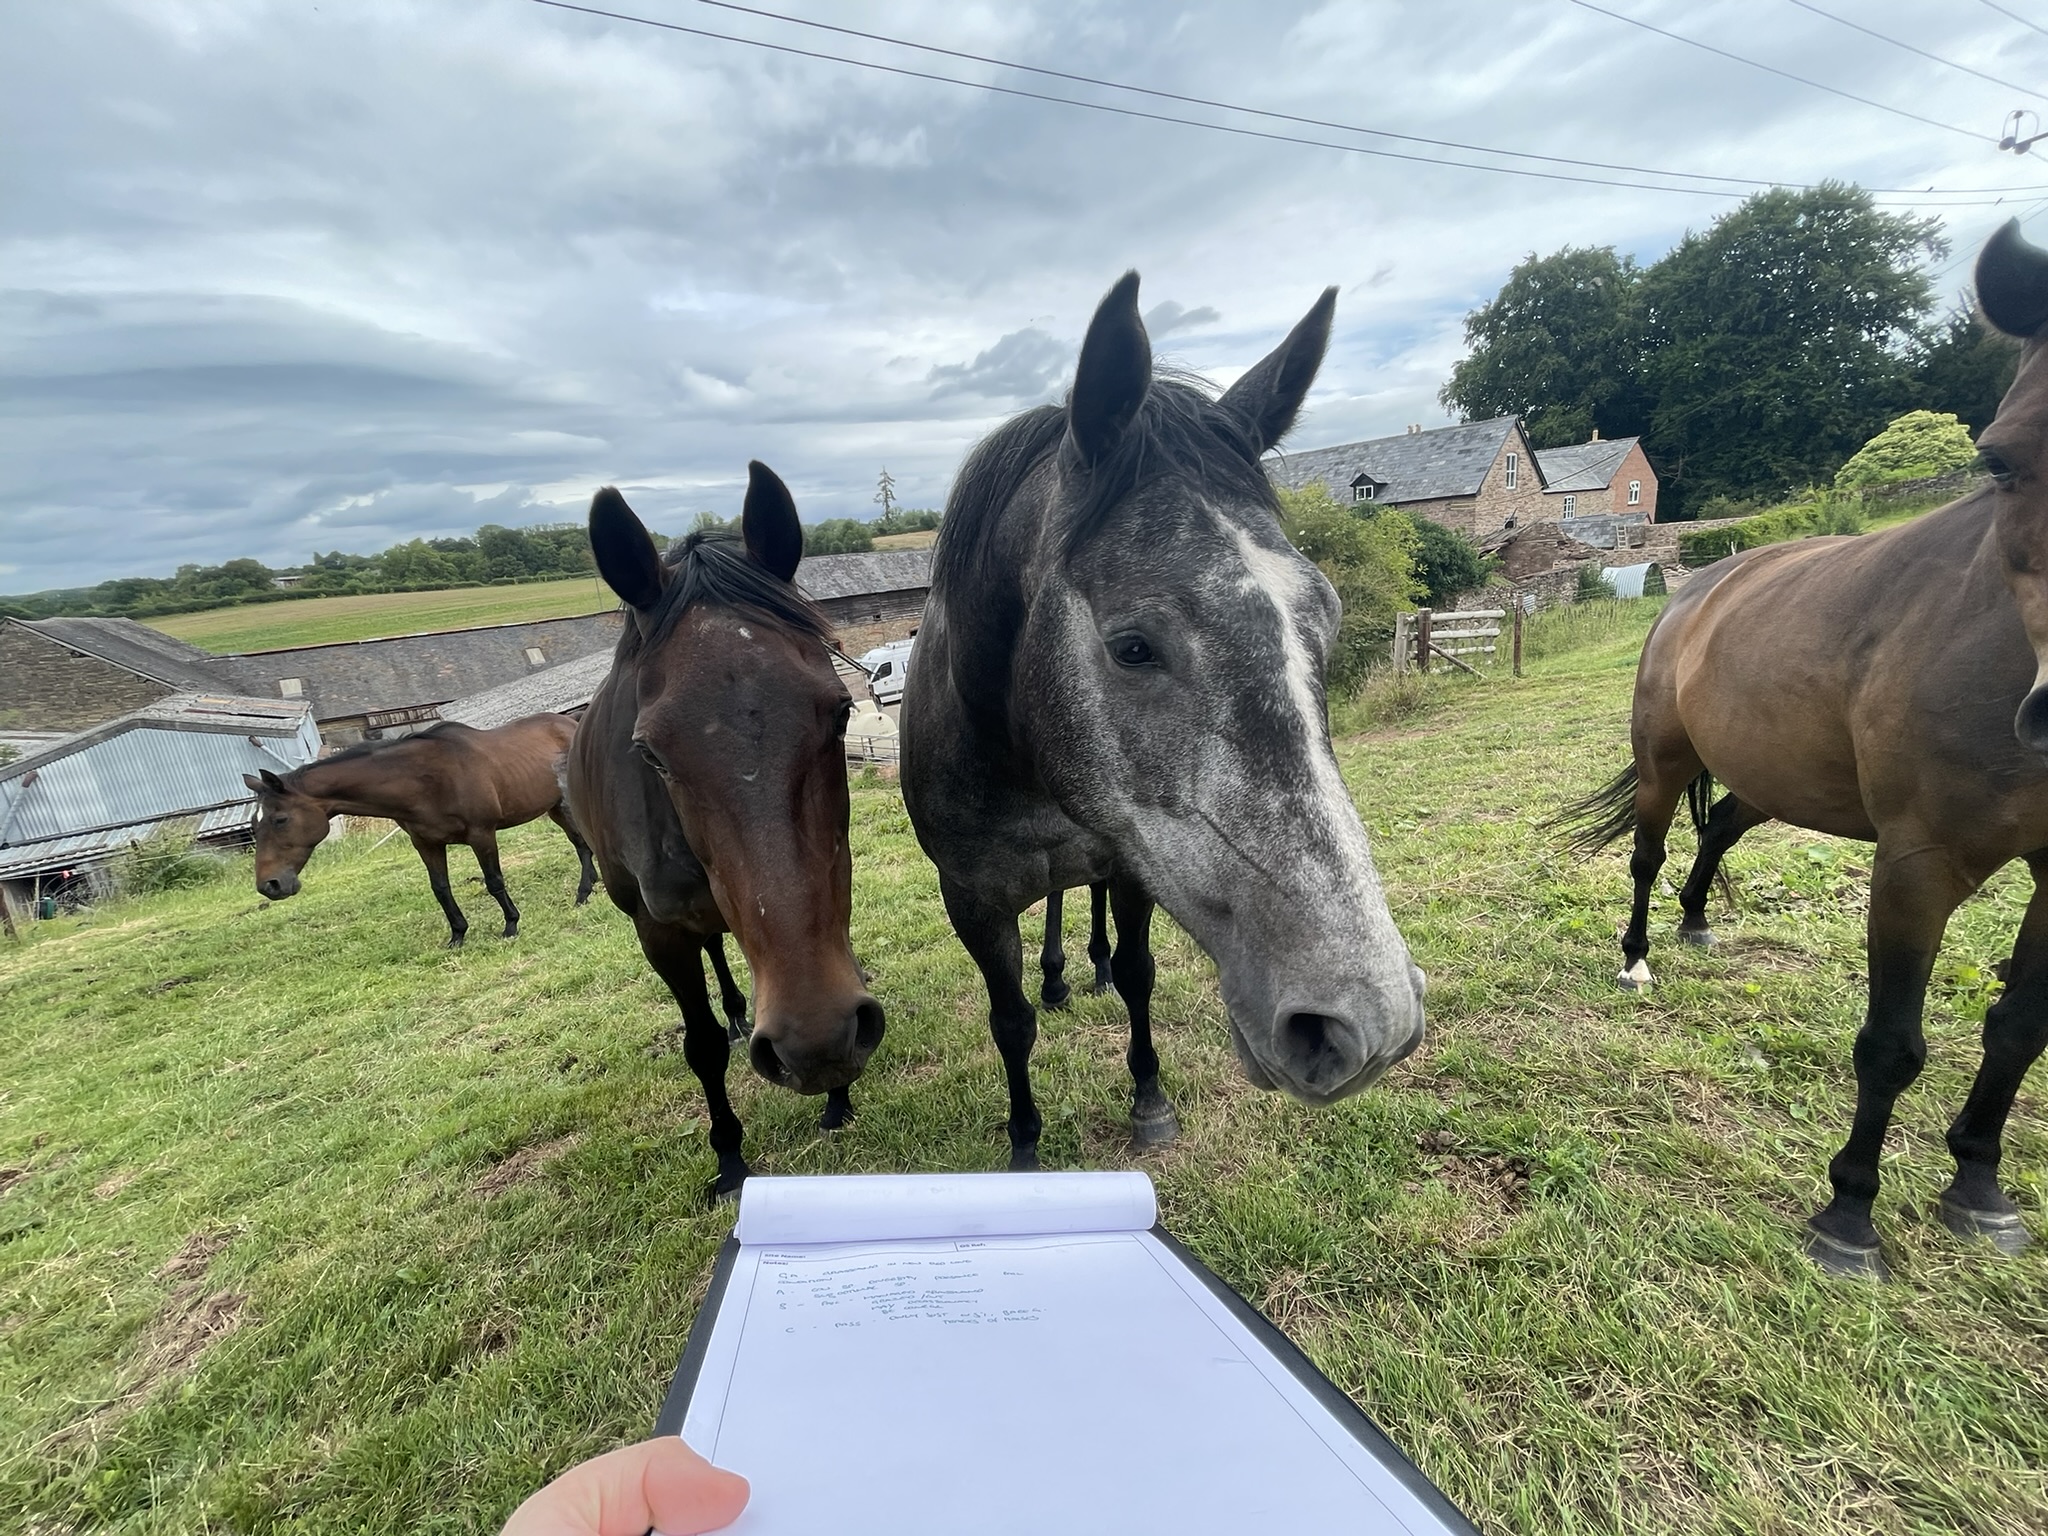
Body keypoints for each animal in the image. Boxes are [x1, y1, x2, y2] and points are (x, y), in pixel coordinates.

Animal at [244, 714, 597, 947]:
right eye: (253, 826)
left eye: (280, 819)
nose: (269, 885)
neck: (422, 779)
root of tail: (570, 723)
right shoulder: (426, 843)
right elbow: (440, 889)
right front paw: (458, 935)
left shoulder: (481, 834)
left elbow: (494, 881)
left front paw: (511, 925)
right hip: (554, 807)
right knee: (581, 843)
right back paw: (588, 888)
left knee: (583, 842)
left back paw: (584, 891)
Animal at [568, 462, 883, 1198]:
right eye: (650, 753)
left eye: (840, 714)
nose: (811, 1045)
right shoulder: (658, 932)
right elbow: (702, 1044)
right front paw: (730, 1159)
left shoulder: (829, 889)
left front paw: (837, 1099)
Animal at [901, 272, 1427, 1170]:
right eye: (1133, 646)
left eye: (1326, 616)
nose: (1370, 1024)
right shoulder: (970, 901)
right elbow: (1010, 1023)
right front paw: (1024, 1145)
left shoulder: (1130, 861)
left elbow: (1141, 971)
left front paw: (1149, 1097)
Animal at [1564, 219, 2048, 1280]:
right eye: (1999, 460)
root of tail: (1696, 585)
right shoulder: (1916, 861)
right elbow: (1892, 1045)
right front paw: (1850, 1214)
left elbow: (2019, 1026)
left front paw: (1980, 1185)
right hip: (1666, 762)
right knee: (1651, 854)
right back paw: (1639, 956)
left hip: (1770, 777)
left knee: (1715, 837)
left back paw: (1698, 922)